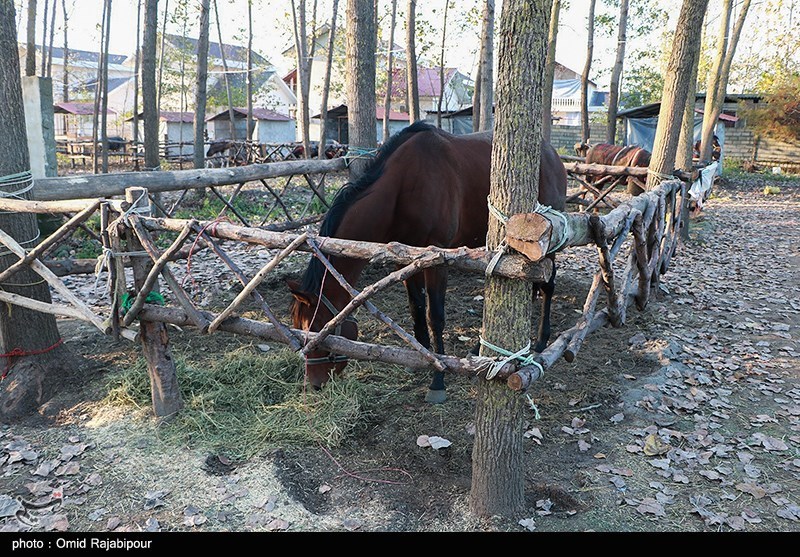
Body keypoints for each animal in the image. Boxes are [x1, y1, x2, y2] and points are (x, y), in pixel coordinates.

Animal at [288, 121, 568, 402]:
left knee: (548, 287)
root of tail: (551, 154)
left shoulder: (437, 260)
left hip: (545, 244)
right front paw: (419, 359)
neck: (404, 187)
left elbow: (435, 316)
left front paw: (438, 378)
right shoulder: (404, 261)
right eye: (298, 327)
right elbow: (417, 310)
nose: (315, 383)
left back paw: (541, 342)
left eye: (320, 328)